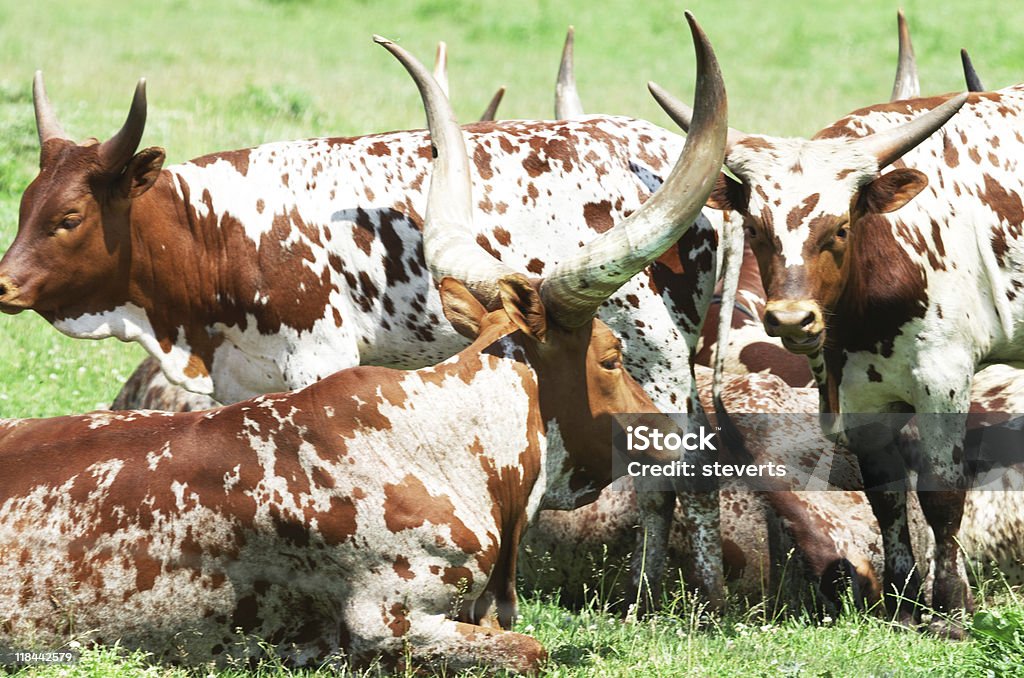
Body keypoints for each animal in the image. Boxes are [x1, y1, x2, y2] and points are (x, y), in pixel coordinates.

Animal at [0, 17, 724, 675]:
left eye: (67, 218)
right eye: (28, 208)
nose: (3, 284)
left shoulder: (314, 355)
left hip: (664, 347)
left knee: (678, 484)